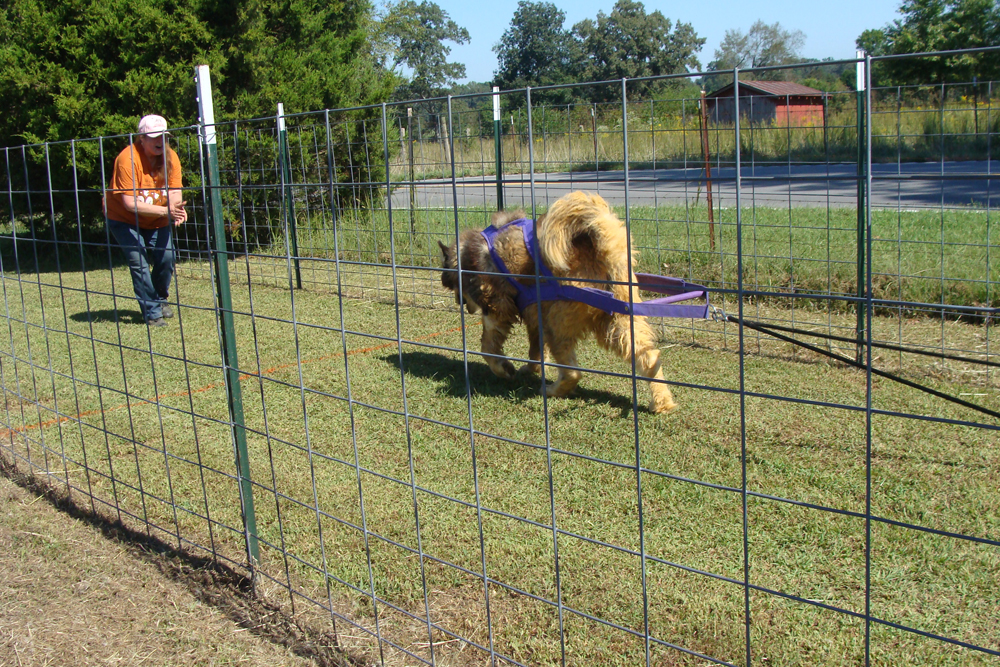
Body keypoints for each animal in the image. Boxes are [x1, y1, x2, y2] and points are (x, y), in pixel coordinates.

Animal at [436, 190, 676, 414]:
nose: (462, 304)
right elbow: (536, 351)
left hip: (558, 323)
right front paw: (530, 370)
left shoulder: (497, 309)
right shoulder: (534, 315)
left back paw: (552, 390)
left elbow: (488, 347)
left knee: (573, 372)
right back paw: (661, 402)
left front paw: (504, 369)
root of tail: (598, 248)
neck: (470, 254)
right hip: (618, 322)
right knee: (650, 358)